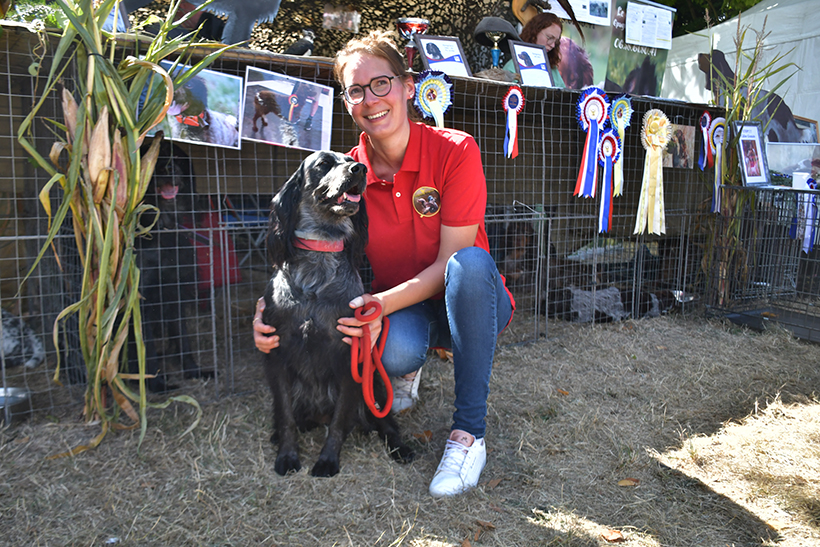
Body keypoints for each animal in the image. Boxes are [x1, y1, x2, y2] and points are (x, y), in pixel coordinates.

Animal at [133, 139, 207, 392]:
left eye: (177, 157)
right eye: (157, 156)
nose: (168, 168)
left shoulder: (176, 291)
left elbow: (183, 338)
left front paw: (194, 370)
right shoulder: (140, 299)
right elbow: (146, 347)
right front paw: (154, 383)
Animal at [262, 151, 414, 480]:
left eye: (349, 159)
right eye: (323, 164)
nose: (360, 168)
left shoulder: (349, 358)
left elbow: (338, 423)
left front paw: (327, 461)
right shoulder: (277, 355)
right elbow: (286, 417)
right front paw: (287, 456)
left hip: (375, 385)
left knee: (386, 424)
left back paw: (401, 448)